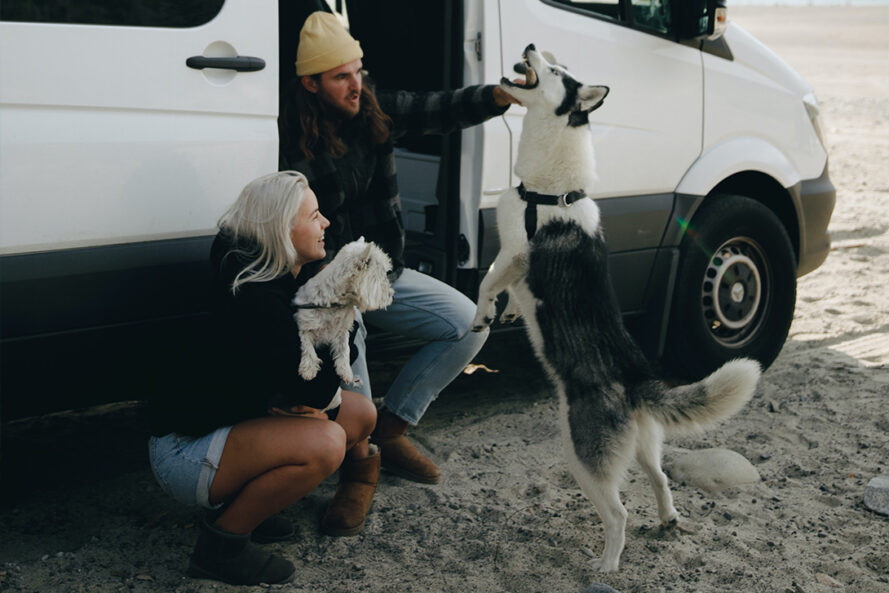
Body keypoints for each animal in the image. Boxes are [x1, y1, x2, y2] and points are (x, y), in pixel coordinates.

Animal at [294, 238, 392, 386]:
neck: (334, 303)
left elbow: (345, 348)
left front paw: (345, 371)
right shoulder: (305, 324)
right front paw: (308, 370)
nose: (392, 295)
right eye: (381, 276)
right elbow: (307, 346)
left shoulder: (342, 330)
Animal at [472, 44, 756, 572]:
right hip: (644, 446)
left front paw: (484, 314)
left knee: (619, 512)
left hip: (582, 456)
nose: (530, 46)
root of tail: (637, 379)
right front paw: (513, 312)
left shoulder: (515, 253)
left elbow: (487, 282)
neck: (549, 189)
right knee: (661, 478)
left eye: (555, 71)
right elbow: (507, 289)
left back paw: (607, 563)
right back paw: (667, 521)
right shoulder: (513, 261)